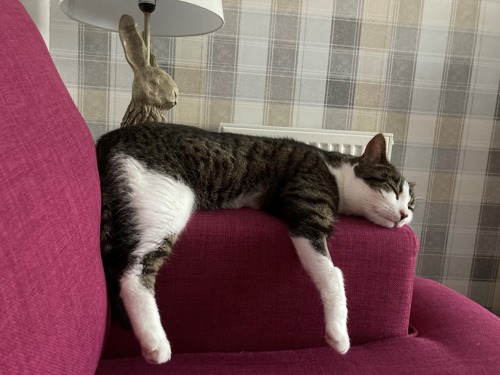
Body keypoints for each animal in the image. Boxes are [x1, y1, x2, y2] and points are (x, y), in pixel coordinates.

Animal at [95, 123, 416, 364]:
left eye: (411, 205)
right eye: (392, 188)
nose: (405, 215)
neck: (334, 170)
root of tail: (110, 138)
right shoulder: (309, 217)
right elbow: (332, 274)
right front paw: (339, 335)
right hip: (167, 198)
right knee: (134, 272)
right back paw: (156, 344)